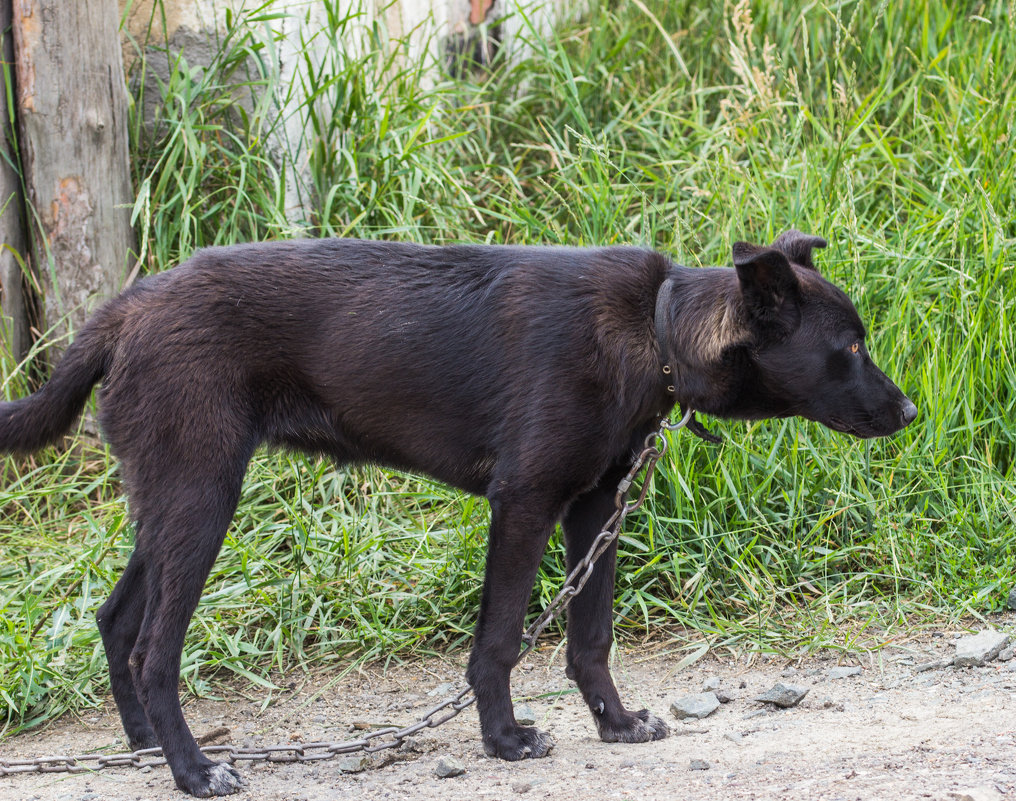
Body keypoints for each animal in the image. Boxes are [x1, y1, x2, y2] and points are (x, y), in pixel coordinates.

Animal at [0, 231, 914, 792]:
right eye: (850, 346)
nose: (910, 412)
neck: (655, 333)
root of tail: (127, 308)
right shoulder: (526, 503)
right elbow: (501, 640)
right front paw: (504, 739)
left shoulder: (594, 511)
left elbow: (589, 638)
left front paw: (616, 722)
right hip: (200, 493)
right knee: (153, 645)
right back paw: (193, 771)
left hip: (172, 497)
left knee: (115, 617)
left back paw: (146, 746)